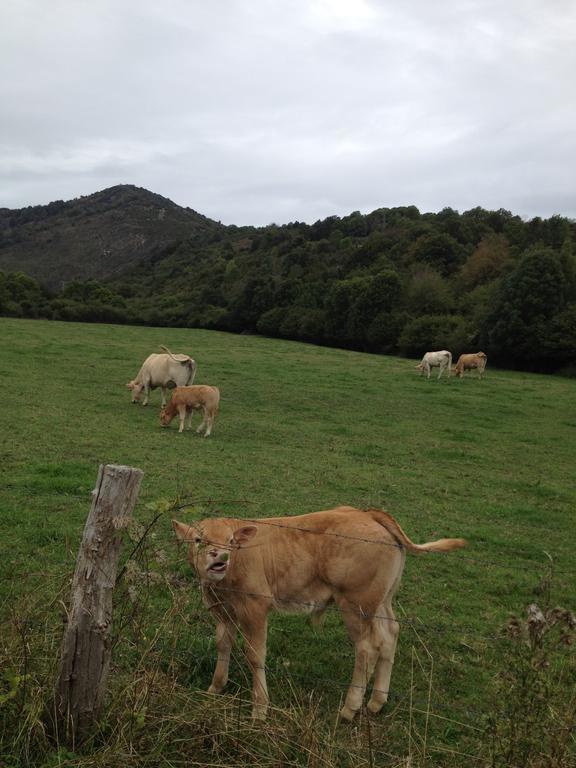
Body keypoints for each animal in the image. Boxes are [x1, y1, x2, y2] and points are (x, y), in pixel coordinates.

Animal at [171, 504, 464, 720]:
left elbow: (255, 655)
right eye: (198, 539)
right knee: (390, 634)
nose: (220, 557)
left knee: (368, 648)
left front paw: (260, 708)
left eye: (232, 541)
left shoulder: (255, 608)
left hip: (355, 605)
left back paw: (350, 707)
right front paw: (215, 687)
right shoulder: (223, 610)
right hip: (381, 602)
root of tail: (366, 513)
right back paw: (376, 702)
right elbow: (223, 644)